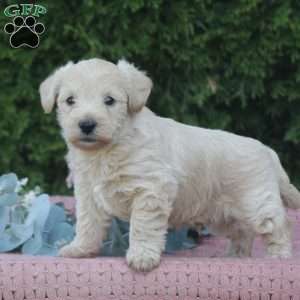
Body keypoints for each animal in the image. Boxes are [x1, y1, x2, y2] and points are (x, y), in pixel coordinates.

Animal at [39, 57, 300, 270]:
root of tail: (267, 151)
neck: (107, 149)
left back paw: (278, 257)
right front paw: (80, 249)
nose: (86, 124)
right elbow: (87, 223)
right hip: (223, 214)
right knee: (242, 232)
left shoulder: (150, 190)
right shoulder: (88, 194)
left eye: (109, 100)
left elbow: (142, 226)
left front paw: (142, 257)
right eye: (70, 100)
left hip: (257, 203)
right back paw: (236, 256)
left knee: (279, 225)